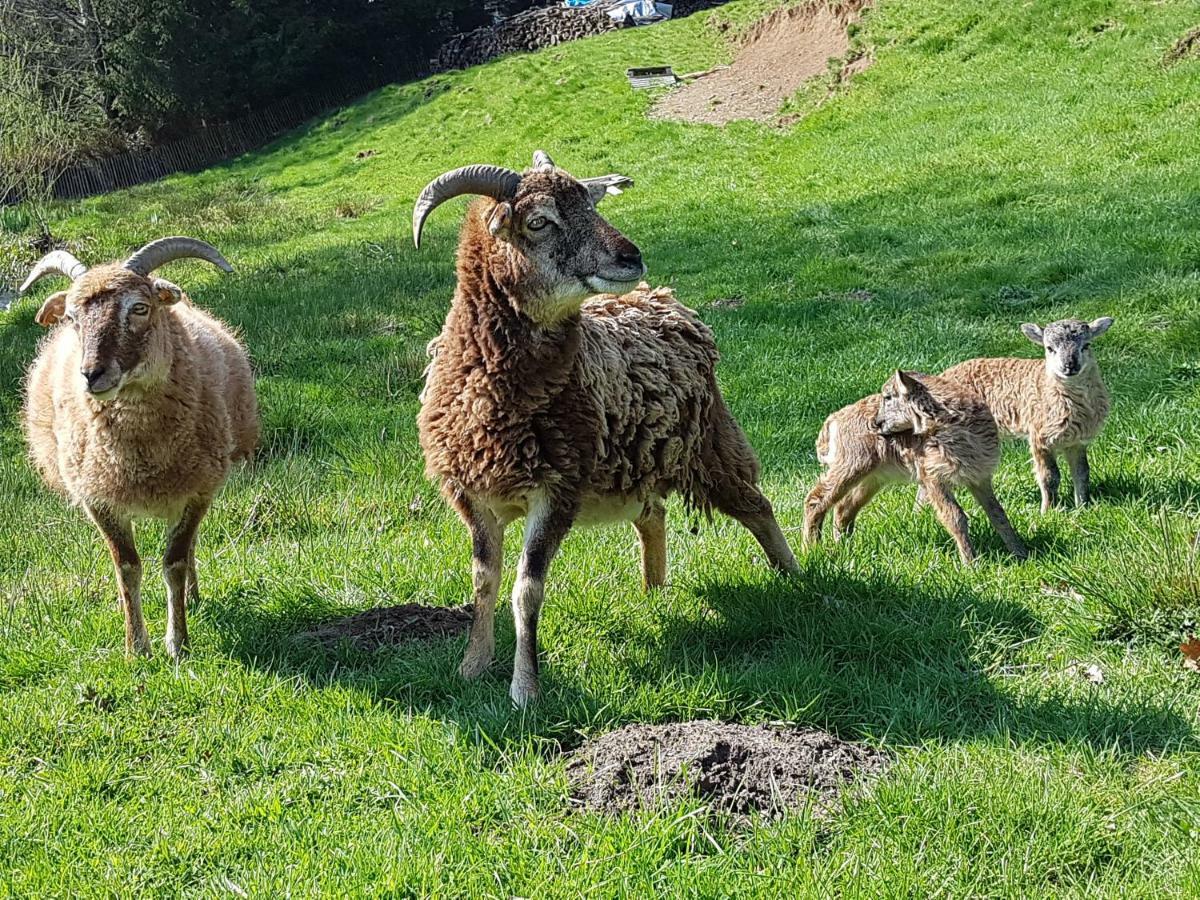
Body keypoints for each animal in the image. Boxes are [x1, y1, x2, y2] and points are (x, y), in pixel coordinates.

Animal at [19, 237, 258, 662]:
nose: (91, 375)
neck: (141, 451)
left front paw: (178, 643)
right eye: (72, 318)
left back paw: (192, 597)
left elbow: (174, 561)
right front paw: (136, 646)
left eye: (140, 308)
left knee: (188, 547)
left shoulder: (198, 490)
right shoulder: (97, 499)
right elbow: (126, 566)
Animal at [410, 151, 796, 710]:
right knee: (653, 515)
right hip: (640, 462)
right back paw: (654, 594)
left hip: (709, 444)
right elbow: (484, 581)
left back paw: (795, 576)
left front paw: (524, 690)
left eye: (590, 205)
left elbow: (526, 589)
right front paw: (471, 667)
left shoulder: (556, 489)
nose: (631, 257)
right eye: (538, 221)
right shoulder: (472, 494)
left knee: (755, 505)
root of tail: (665, 301)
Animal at [801, 367, 1027, 564]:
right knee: (815, 499)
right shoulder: (932, 475)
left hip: (874, 475)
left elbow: (998, 513)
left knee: (843, 508)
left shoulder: (979, 476)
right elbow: (955, 517)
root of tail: (832, 422)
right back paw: (812, 549)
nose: (877, 423)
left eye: (888, 397)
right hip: (852, 462)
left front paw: (1020, 553)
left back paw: (843, 547)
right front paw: (971, 563)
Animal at [940, 316, 1108, 513]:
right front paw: (1047, 511)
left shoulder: (1077, 441)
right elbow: (1050, 477)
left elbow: (1082, 473)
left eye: (1086, 345)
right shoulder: (1039, 436)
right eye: (1049, 348)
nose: (1069, 366)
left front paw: (1082, 507)